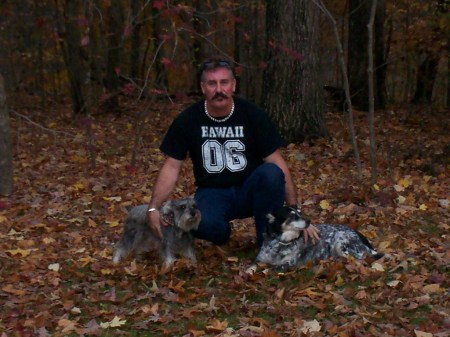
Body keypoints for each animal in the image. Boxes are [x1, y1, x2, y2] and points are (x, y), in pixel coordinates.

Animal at [256, 205, 384, 268]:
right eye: (292, 216)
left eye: (299, 212)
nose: (309, 221)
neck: (281, 243)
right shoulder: (260, 259)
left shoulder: (289, 264)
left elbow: (269, 269)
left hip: (341, 239)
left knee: (359, 259)